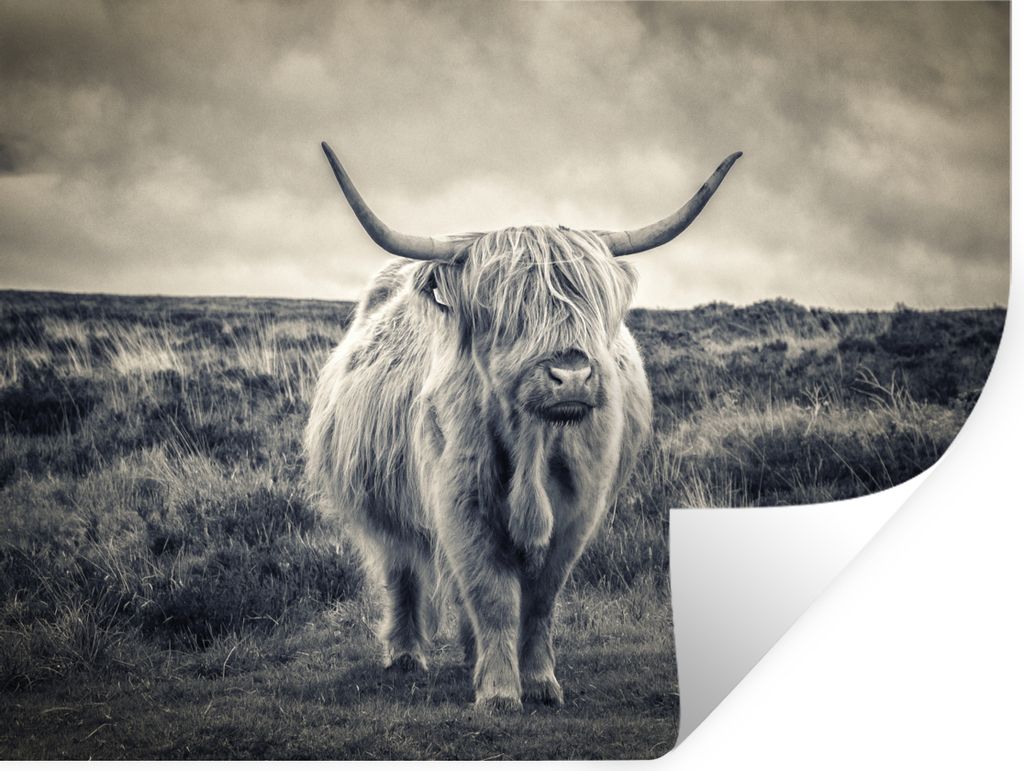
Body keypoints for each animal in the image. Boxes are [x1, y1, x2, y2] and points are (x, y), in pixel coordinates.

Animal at [304, 142, 740, 712]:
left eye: (592, 303)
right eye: (505, 310)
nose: (571, 374)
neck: (533, 443)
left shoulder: (578, 509)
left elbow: (539, 599)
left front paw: (538, 681)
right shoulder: (461, 501)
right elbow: (491, 594)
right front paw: (498, 691)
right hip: (383, 502)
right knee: (401, 569)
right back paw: (405, 654)